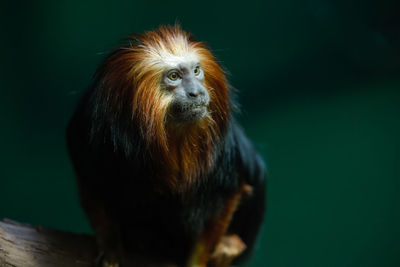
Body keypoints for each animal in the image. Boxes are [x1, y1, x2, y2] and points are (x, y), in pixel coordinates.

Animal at [66, 25, 266, 267]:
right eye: (174, 76)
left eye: (196, 71)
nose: (197, 92)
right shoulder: (90, 133)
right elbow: (92, 186)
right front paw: (110, 246)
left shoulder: (225, 154)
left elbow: (228, 195)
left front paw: (197, 262)